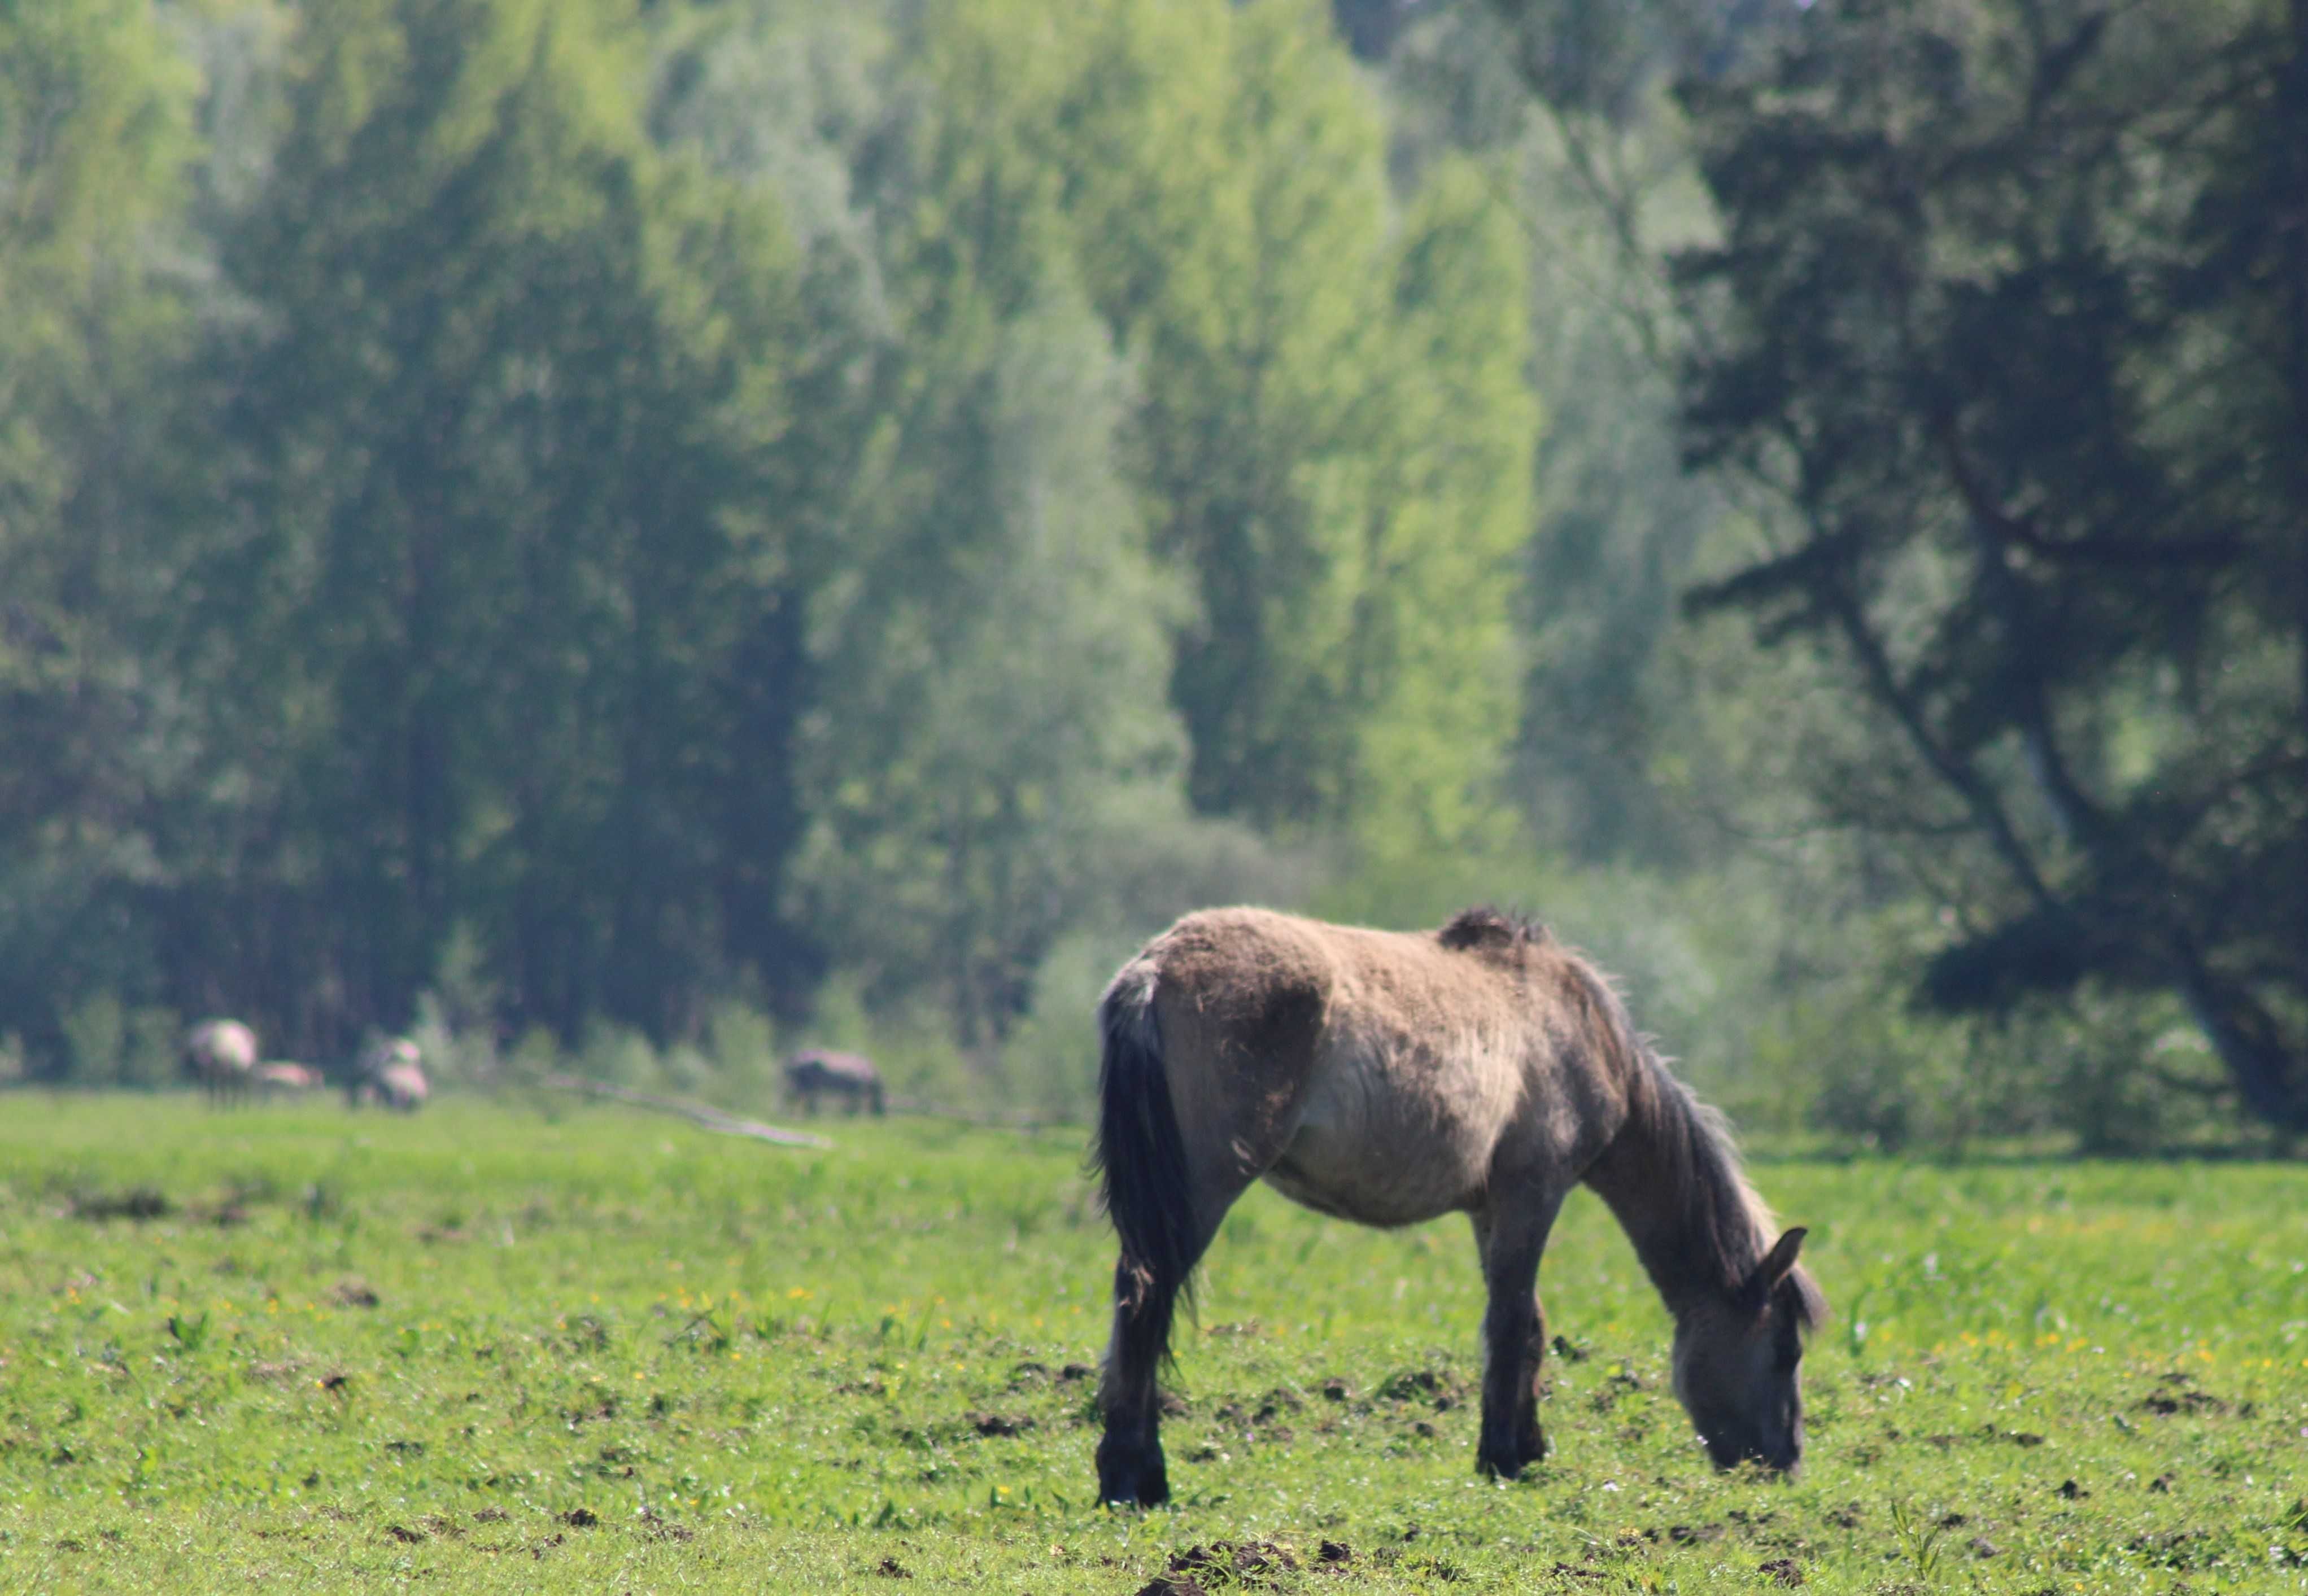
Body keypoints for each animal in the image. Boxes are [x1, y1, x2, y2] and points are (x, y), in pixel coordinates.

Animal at [181, 1024, 258, 1112]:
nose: (201, 1063)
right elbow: (212, 1091)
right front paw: (213, 1108)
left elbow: (221, 1091)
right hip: (235, 1075)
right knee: (235, 1088)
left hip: (244, 1073)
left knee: (242, 1088)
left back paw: (242, 1107)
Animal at [1089, 908, 1827, 1512]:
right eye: (1784, 1349)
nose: (1785, 1466)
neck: (1577, 1029)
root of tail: (1154, 969)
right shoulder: (1534, 1191)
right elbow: (1511, 1321)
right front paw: (1501, 1456)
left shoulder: (1489, 1207)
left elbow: (1527, 1323)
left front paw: (1527, 1447)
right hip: (1203, 1187)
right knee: (1147, 1300)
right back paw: (1136, 1476)